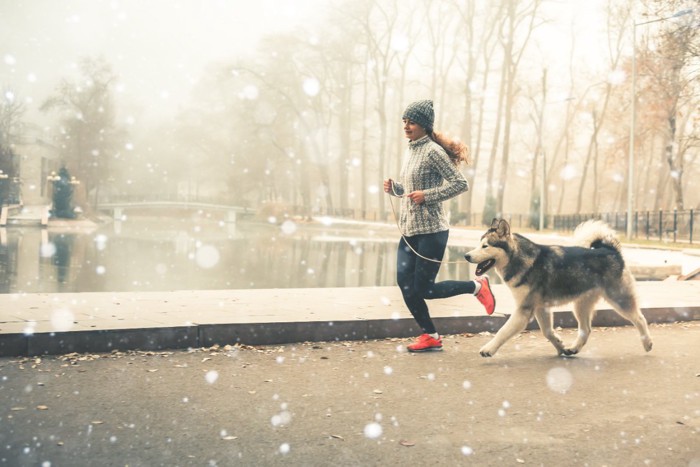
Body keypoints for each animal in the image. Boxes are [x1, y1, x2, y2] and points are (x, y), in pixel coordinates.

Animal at [462, 219, 652, 358]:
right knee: (586, 330)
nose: (466, 255)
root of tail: (611, 250)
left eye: (485, 246)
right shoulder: (541, 308)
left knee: (640, 318)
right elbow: (547, 332)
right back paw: (574, 348)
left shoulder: (524, 310)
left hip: (618, 298)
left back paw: (647, 343)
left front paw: (489, 348)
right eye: (479, 244)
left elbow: (503, 331)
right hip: (580, 305)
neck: (519, 258)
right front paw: (560, 346)